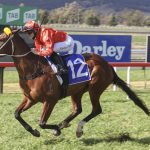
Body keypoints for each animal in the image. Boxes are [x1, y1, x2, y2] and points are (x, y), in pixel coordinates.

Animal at [0, 29, 149, 138]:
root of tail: (108, 65)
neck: (34, 69)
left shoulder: (50, 100)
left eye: (1, 38)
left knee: (96, 109)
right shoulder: (30, 99)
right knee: (78, 109)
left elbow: (42, 123)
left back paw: (77, 129)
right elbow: (16, 114)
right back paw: (65, 124)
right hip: (77, 91)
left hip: (95, 88)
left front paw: (55, 129)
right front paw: (35, 131)